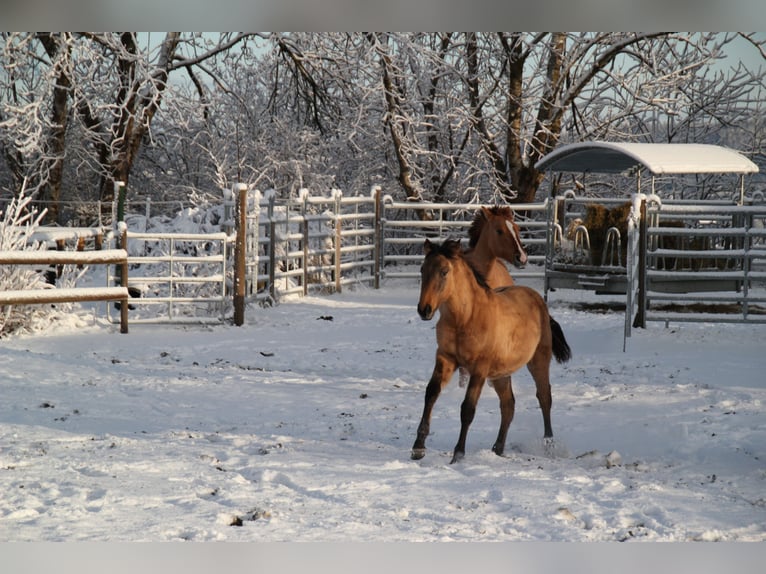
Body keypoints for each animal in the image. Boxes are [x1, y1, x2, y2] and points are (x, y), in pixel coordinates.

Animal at [414, 238, 568, 464]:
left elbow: (468, 409)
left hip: (538, 361)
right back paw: (498, 448)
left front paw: (458, 454)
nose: (424, 310)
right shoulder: (445, 358)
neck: (465, 318)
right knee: (508, 405)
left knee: (544, 397)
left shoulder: (479, 368)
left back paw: (548, 444)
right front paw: (418, 448)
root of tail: (539, 301)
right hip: (500, 374)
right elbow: (431, 394)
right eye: (422, 269)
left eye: (444, 271)